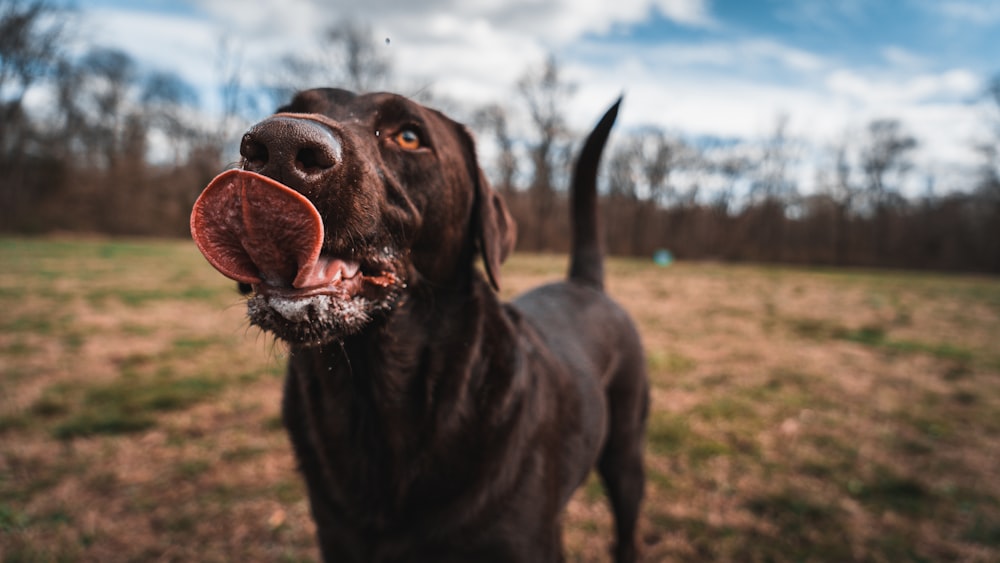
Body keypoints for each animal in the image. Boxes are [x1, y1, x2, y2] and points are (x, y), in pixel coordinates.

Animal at [191, 90, 652, 560]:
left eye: (410, 137)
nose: (278, 142)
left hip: (625, 455)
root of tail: (584, 284)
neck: (373, 398)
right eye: (288, 109)